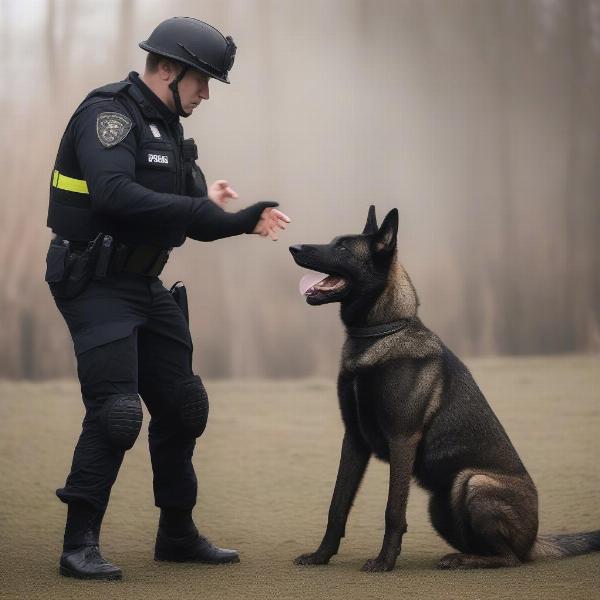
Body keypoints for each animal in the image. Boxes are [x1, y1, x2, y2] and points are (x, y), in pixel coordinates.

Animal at [288, 206, 596, 572]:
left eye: (344, 248)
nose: (293, 248)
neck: (380, 333)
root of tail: (534, 541)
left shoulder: (402, 439)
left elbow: (393, 511)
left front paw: (384, 562)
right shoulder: (353, 440)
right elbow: (337, 505)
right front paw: (321, 556)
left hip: (472, 481)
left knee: (509, 558)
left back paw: (465, 561)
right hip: (439, 505)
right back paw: (462, 556)